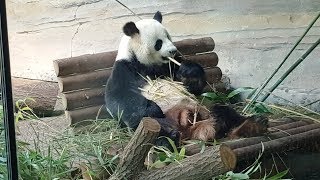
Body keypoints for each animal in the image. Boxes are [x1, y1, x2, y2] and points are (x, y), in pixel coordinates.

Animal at [105, 10, 268, 146]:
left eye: (168, 37)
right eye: (159, 43)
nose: (173, 50)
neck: (146, 63)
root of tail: (189, 127)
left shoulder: (168, 67)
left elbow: (191, 86)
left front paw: (190, 72)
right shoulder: (125, 69)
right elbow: (119, 100)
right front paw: (152, 109)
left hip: (204, 108)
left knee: (224, 111)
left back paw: (253, 125)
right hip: (152, 126)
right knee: (156, 130)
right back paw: (169, 138)